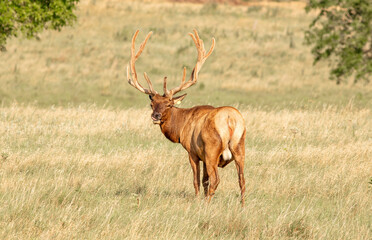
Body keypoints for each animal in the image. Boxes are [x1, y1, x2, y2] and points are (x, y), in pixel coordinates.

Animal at [126, 28, 246, 204]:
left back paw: (207, 204)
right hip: (239, 146)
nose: (155, 116)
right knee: (241, 180)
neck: (180, 128)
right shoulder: (202, 156)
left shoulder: (193, 152)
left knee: (216, 179)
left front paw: (197, 200)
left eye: (169, 104)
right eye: (152, 104)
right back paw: (242, 205)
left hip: (212, 149)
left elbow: (197, 180)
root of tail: (230, 120)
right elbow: (204, 180)